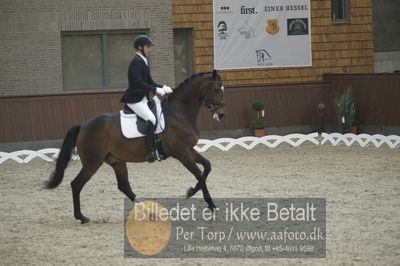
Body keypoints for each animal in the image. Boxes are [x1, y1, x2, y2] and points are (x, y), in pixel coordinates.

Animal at [44, 69, 225, 223]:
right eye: (216, 89)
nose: (222, 114)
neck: (179, 112)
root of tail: (83, 126)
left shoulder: (189, 149)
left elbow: (207, 167)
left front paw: (195, 194)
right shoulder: (181, 152)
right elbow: (199, 175)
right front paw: (207, 203)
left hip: (116, 161)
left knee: (124, 186)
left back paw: (147, 211)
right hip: (92, 162)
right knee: (76, 184)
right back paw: (81, 217)